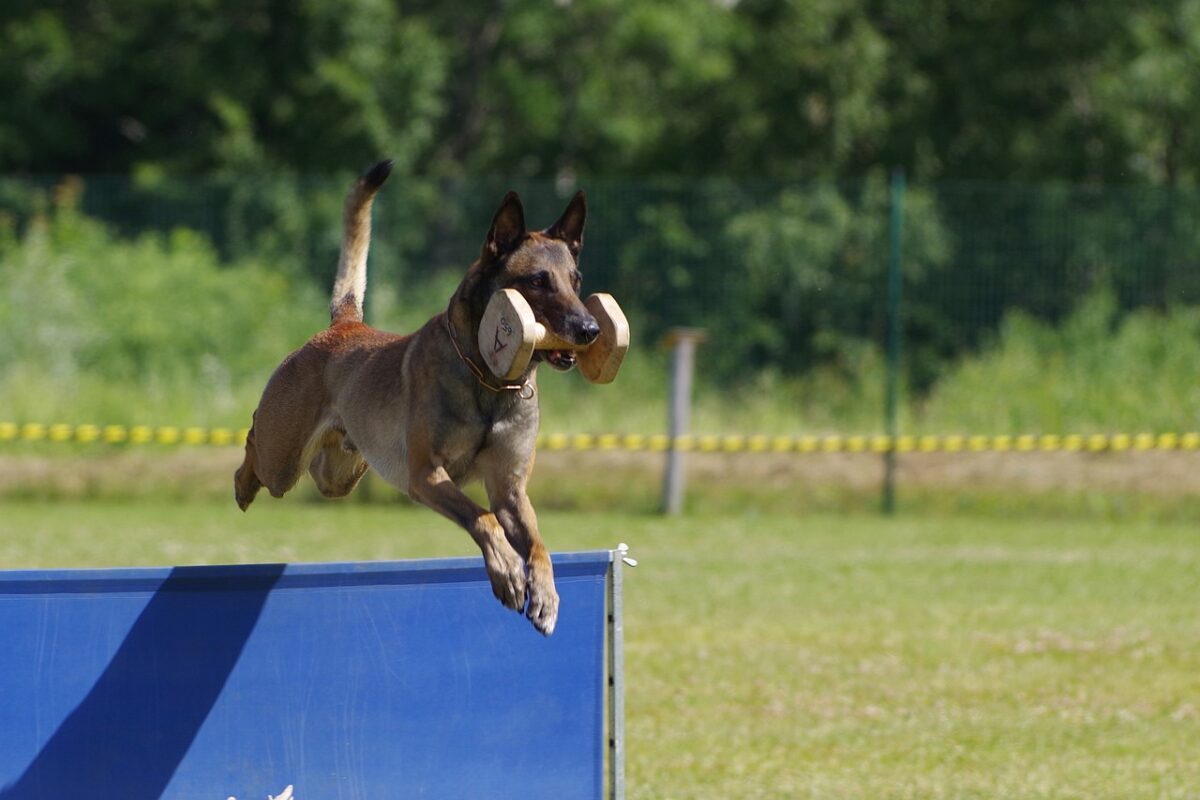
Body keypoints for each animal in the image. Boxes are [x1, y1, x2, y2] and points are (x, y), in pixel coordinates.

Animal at [236, 160, 600, 638]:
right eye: (539, 281)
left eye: (576, 282)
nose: (590, 329)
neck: (489, 382)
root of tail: (345, 325)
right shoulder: (427, 475)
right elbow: (481, 518)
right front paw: (506, 571)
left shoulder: (510, 490)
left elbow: (538, 545)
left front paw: (545, 596)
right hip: (283, 459)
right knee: (256, 445)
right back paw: (243, 483)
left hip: (340, 472)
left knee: (320, 467)